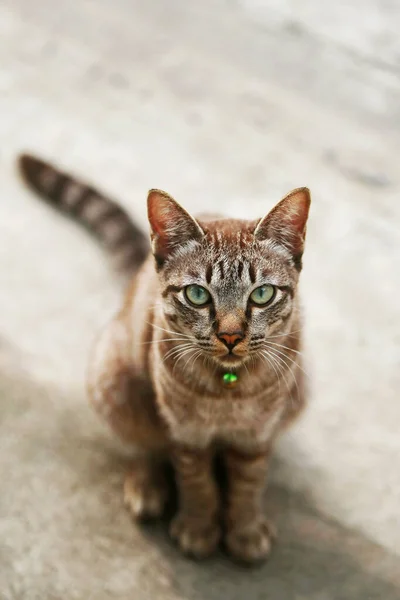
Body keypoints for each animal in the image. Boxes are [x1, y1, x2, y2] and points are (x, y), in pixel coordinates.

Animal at [18, 154, 310, 564]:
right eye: (198, 295)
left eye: (263, 294)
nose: (231, 336)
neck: (228, 389)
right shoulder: (184, 432)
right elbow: (197, 482)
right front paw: (199, 529)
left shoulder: (257, 434)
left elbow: (248, 483)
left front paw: (245, 529)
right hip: (112, 378)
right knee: (141, 444)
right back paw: (147, 487)